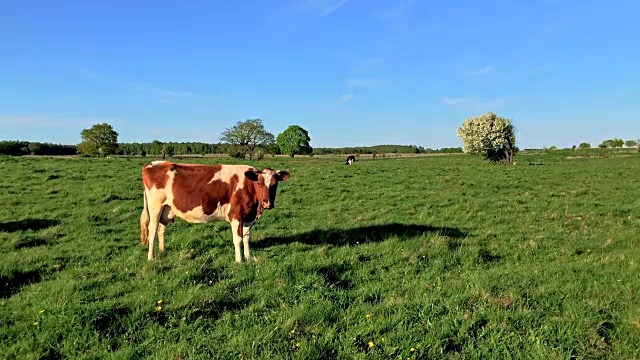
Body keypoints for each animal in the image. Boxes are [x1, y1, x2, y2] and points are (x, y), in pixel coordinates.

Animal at [141, 162, 292, 262]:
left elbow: (246, 238)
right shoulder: (236, 216)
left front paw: (249, 258)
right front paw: (239, 261)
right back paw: (151, 257)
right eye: (259, 183)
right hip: (155, 207)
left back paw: (163, 251)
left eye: (275, 184)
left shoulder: (248, 217)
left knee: (161, 230)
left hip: (166, 209)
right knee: (152, 230)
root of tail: (153, 164)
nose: (268, 203)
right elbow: (237, 239)